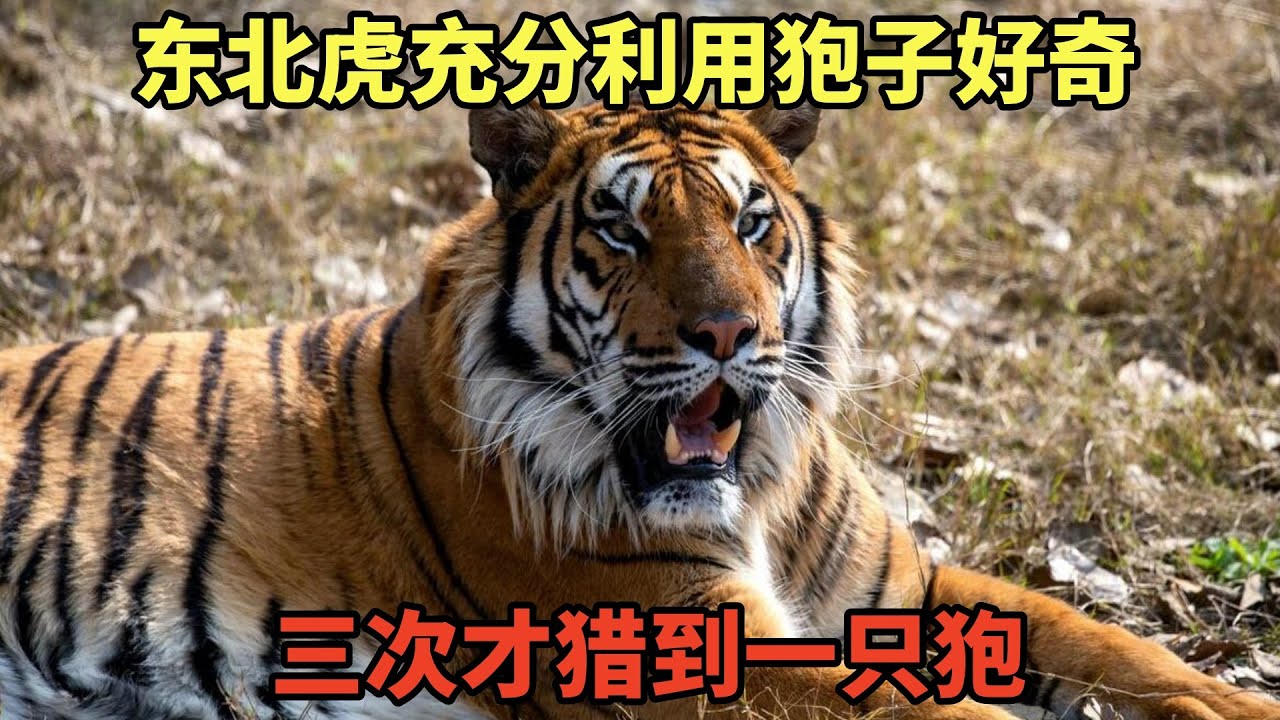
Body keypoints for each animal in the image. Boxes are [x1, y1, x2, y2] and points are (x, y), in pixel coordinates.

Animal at [0, 101, 1276, 720]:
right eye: (620, 230)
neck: (754, 487)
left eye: (751, 224)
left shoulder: (903, 592)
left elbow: (1115, 647)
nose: (728, 336)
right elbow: (933, 718)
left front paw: (1221, 705)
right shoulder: (687, 643)